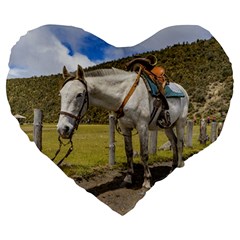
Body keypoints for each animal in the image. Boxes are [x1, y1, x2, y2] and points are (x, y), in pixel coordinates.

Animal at [57, 64, 188, 188]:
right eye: (60, 94)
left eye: (79, 94)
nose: (63, 129)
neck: (125, 94)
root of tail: (183, 91)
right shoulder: (125, 128)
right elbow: (128, 152)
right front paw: (128, 178)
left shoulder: (142, 127)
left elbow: (144, 153)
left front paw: (146, 180)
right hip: (168, 126)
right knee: (174, 142)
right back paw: (173, 168)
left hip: (180, 123)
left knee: (180, 144)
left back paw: (179, 165)